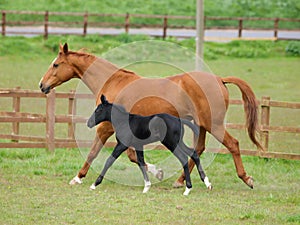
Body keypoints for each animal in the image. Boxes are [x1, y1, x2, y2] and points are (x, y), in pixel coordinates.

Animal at [38, 43, 262, 189]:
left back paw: (246, 179)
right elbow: (132, 156)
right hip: (202, 125)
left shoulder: (106, 127)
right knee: (198, 149)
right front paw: (157, 173)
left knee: (232, 144)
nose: (42, 85)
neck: (113, 82)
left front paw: (78, 178)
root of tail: (219, 79)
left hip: (213, 124)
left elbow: (94, 152)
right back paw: (180, 181)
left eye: (56, 64)